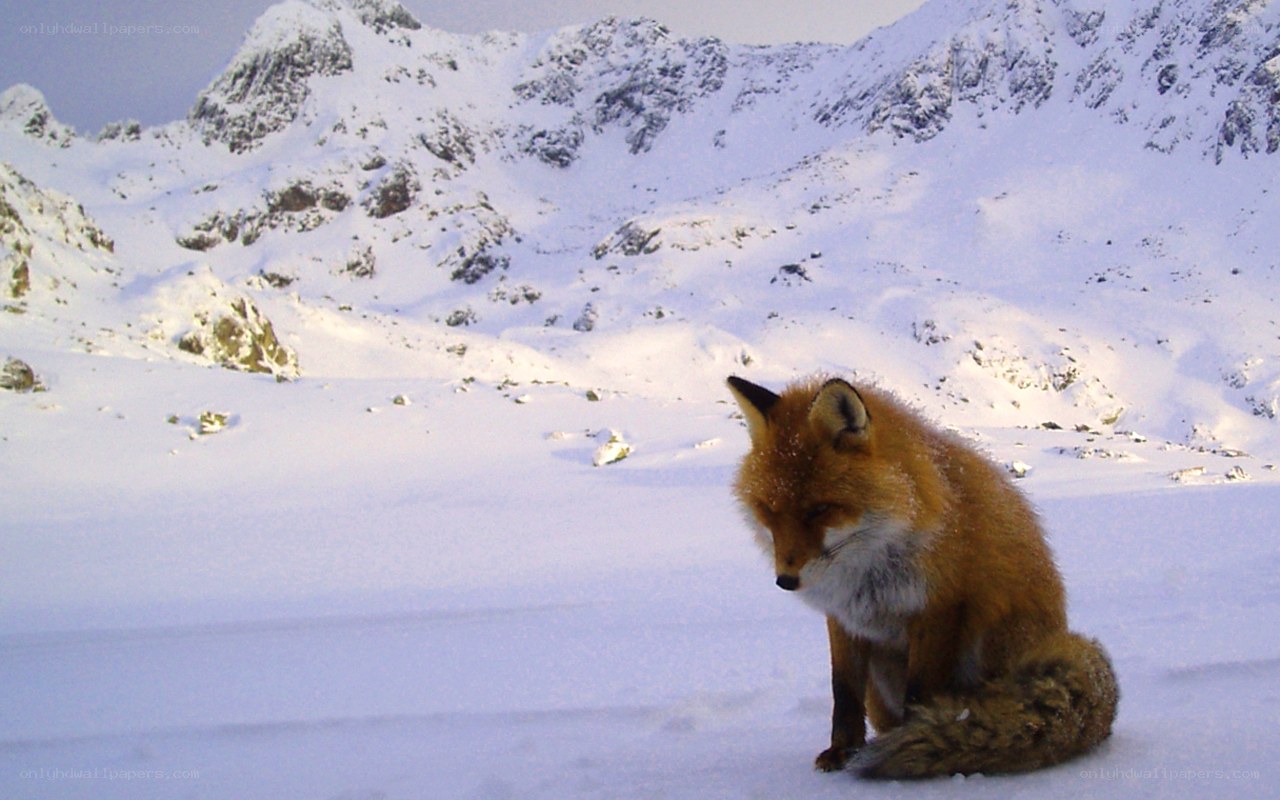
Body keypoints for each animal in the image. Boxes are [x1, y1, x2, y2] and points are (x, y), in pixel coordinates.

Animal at [726, 374, 1118, 779]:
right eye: (768, 510)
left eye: (820, 510)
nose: (786, 580)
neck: (869, 565)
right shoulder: (844, 617)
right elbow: (844, 692)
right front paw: (842, 751)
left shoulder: (937, 607)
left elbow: (919, 694)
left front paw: (915, 737)